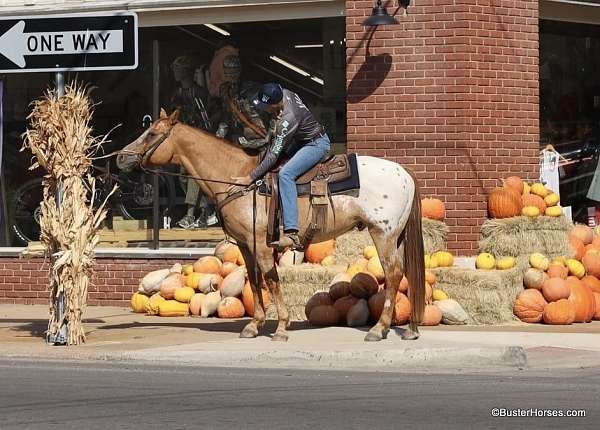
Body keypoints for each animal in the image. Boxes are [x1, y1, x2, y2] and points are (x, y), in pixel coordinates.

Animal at [118, 110, 426, 342]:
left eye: (152, 134)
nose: (121, 156)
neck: (240, 179)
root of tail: (404, 171)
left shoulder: (263, 246)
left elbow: (272, 281)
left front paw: (280, 328)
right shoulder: (246, 245)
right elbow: (254, 282)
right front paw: (254, 325)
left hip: (383, 234)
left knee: (393, 274)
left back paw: (378, 329)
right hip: (396, 236)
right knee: (405, 272)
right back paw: (409, 329)